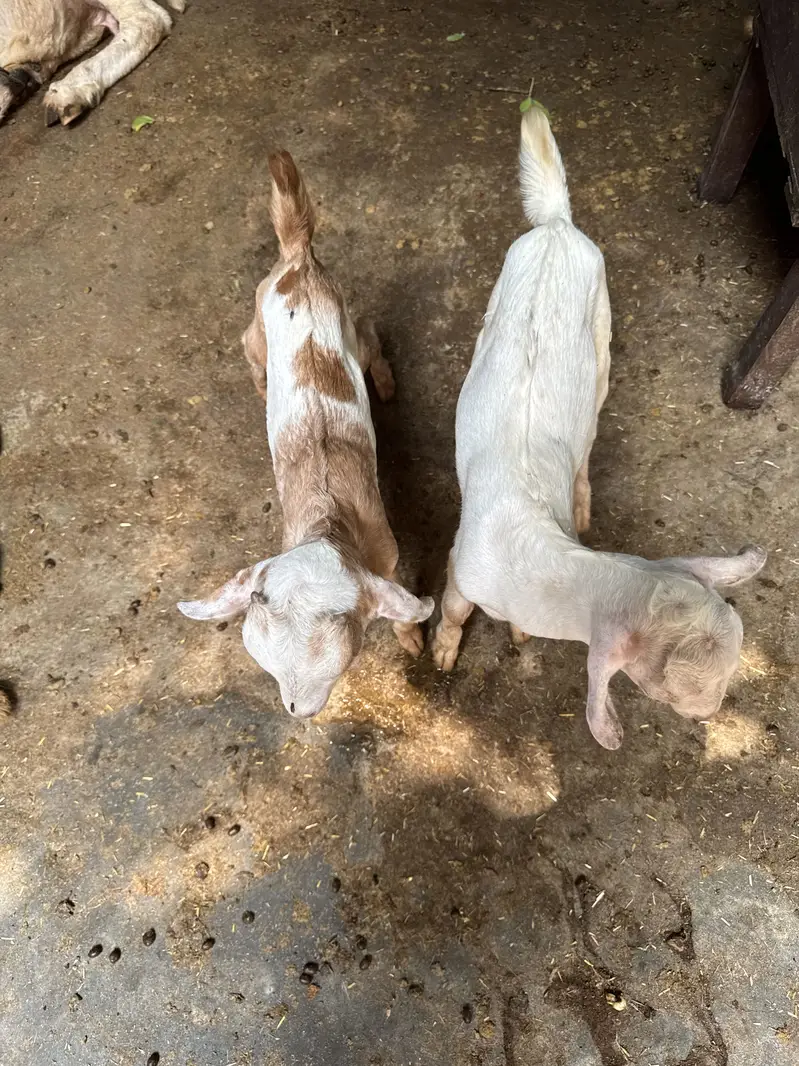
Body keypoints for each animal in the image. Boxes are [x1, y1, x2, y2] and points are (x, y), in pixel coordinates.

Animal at [178, 151, 434, 719]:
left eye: (343, 657)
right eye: (265, 664)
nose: (297, 709)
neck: (327, 521)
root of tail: (298, 262)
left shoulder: (386, 550)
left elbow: (402, 604)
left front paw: (413, 643)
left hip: (339, 316)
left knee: (369, 335)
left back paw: (384, 385)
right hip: (261, 315)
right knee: (251, 345)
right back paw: (261, 386)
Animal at [431, 105, 766, 749]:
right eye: (668, 685)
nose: (709, 715)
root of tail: (558, 227)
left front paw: (520, 638)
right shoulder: (464, 563)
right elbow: (456, 608)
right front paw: (442, 654)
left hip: (601, 320)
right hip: (513, 282)